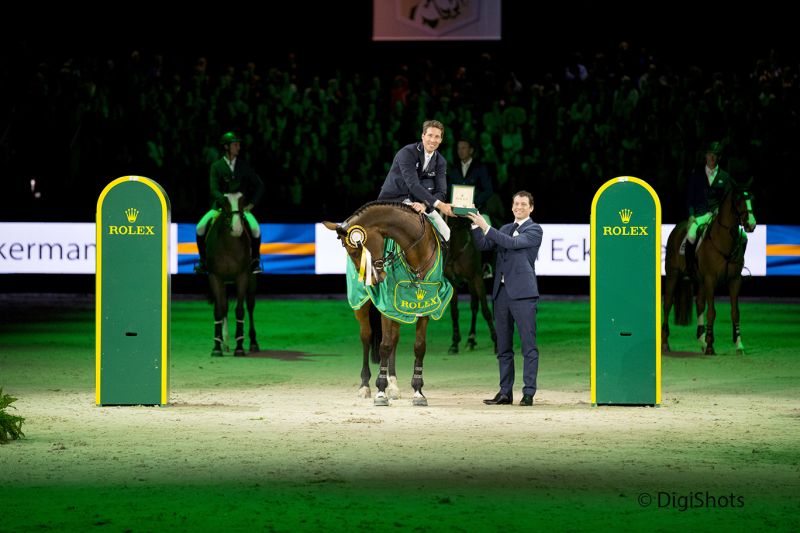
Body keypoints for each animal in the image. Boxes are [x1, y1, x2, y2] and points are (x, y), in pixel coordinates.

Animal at [205, 193, 258, 356]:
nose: (237, 229)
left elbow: (240, 311)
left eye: (242, 202)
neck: (229, 245)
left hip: (251, 280)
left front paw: (240, 347)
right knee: (224, 307)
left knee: (250, 306)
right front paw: (217, 347)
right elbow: (218, 310)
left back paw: (253, 343)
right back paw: (225, 343)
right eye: (224, 203)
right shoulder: (215, 277)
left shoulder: (242, 277)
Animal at [324, 202, 450, 406]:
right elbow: (384, 345)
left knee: (395, 339)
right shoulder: (385, 306)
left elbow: (419, 346)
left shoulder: (425, 306)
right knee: (366, 337)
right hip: (362, 305)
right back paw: (365, 386)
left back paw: (394, 385)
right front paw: (380, 391)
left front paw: (418, 392)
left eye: (355, 250)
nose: (373, 281)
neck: (417, 253)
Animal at [444, 214, 494, 356]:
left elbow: (486, 310)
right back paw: (471, 340)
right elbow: (454, 312)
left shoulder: (477, 277)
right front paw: (455, 343)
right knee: (474, 306)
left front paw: (496, 342)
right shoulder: (452, 281)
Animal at [664, 182, 756, 354]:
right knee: (667, 304)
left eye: (752, 199)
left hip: (700, 281)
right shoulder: (710, 280)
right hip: (673, 274)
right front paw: (710, 345)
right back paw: (666, 343)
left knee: (699, 303)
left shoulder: (735, 280)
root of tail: (677, 228)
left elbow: (735, 312)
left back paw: (701, 341)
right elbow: (712, 312)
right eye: (738, 200)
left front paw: (739, 345)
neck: (724, 239)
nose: (751, 225)